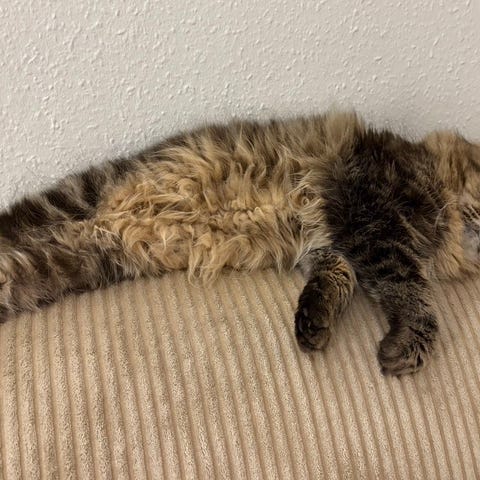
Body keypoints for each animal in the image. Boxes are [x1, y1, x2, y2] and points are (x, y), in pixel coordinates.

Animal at [0, 110, 479, 376]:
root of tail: (105, 220)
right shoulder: (372, 213)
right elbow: (411, 290)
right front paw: (408, 346)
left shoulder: (329, 243)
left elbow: (335, 281)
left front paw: (313, 325)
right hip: (68, 202)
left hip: (65, 261)